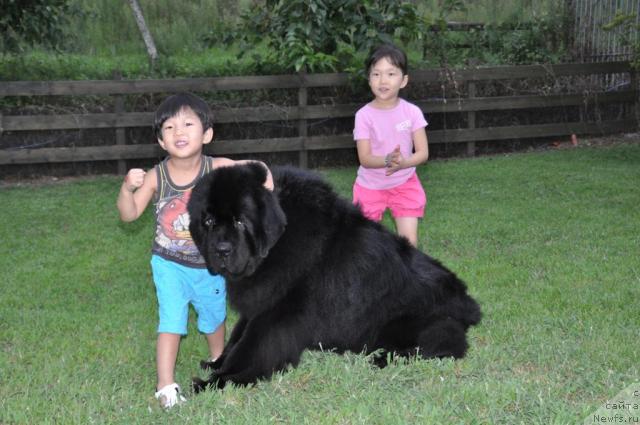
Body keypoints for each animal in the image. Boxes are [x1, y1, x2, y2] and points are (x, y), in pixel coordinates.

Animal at [189, 163, 480, 390]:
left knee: (439, 345)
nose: (221, 250)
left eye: (241, 222)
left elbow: (252, 348)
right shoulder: (262, 301)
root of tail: (470, 306)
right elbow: (237, 337)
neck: (276, 245)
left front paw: (217, 381)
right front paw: (216, 363)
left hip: (417, 321)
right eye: (209, 222)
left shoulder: (277, 313)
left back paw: (380, 358)